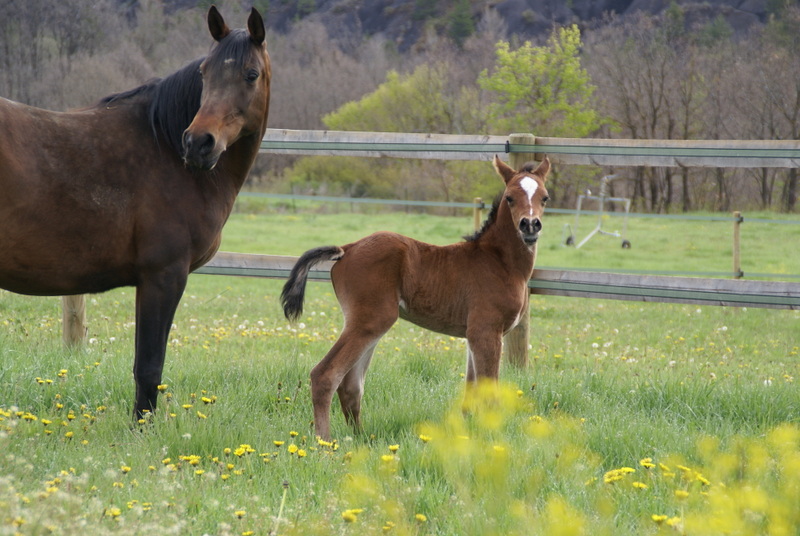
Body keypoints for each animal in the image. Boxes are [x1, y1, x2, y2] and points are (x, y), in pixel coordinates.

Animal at [0, 6, 272, 420]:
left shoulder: (152, 281)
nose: (198, 143)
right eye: (204, 73)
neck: (164, 147)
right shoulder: (163, 276)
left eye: (251, 74)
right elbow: (149, 367)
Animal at [282, 155, 552, 440]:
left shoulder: (473, 334)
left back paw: (361, 439)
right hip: (372, 320)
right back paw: (325, 442)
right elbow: (488, 392)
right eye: (510, 197)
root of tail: (347, 248)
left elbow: (470, 390)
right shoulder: (486, 330)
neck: (500, 261)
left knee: (351, 384)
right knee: (325, 375)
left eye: (545, 197)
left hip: (368, 324)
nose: (530, 225)